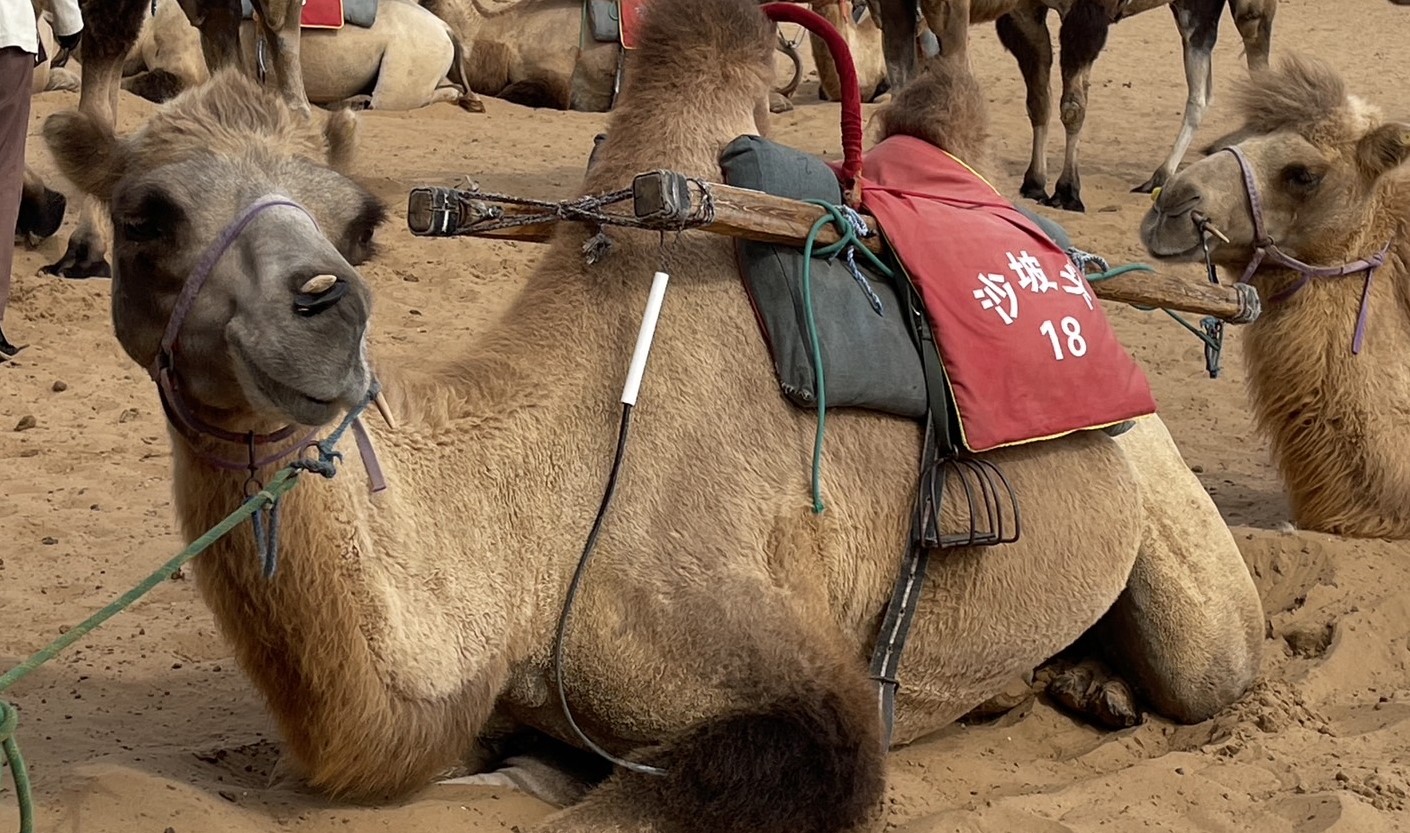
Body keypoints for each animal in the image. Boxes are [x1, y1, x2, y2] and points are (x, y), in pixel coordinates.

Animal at [823, 0, 1280, 211]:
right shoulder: (1021, 13)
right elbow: (1038, 102)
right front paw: (1034, 181)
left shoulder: (1086, 13)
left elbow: (1071, 105)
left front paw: (1067, 189)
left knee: (1229, 77)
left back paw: (1166, 175)